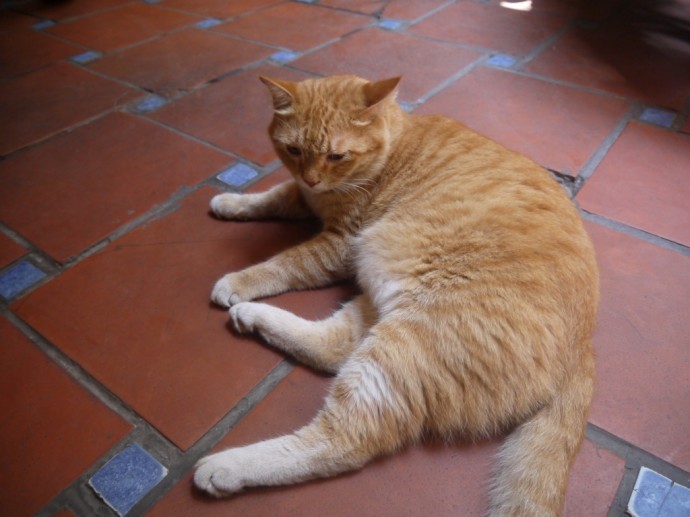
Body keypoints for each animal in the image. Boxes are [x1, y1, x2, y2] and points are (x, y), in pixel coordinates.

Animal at [192, 73, 596, 516]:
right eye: (294, 150)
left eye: (336, 155)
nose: (312, 178)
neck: (391, 149)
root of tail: (584, 348)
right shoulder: (303, 198)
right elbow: (272, 195)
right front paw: (232, 200)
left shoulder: (339, 244)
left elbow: (283, 263)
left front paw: (238, 280)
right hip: (384, 307)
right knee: (333, 347)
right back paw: (252, 316)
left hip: (407, 342)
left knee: (342, 441)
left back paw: (227, 467)